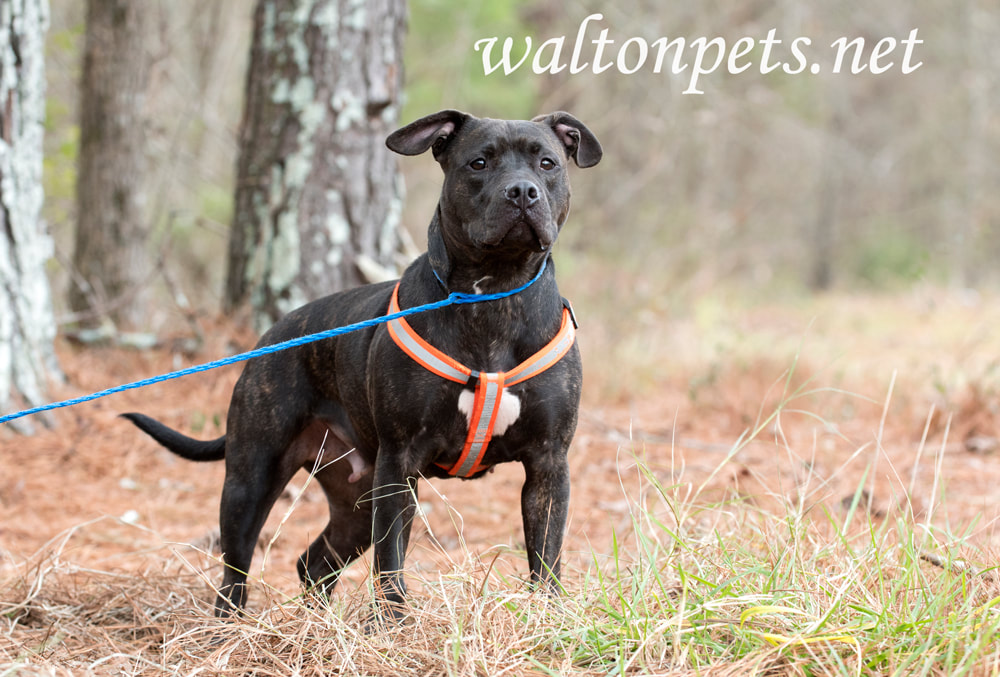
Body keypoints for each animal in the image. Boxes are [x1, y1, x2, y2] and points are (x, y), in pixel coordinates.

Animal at [123, 108, 600, 616]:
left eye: (547, 164)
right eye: (479, 162)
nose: (522, 190)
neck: (495, 296)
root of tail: (271, 336)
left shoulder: (548, 464)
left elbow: (546, 553)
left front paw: (549, 613)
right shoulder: (400, 464)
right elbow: (391, 560)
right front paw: (391, 622)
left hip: (355, 498)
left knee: (314, 562)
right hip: (252, 477)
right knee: (236, 570)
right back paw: (228, 624)